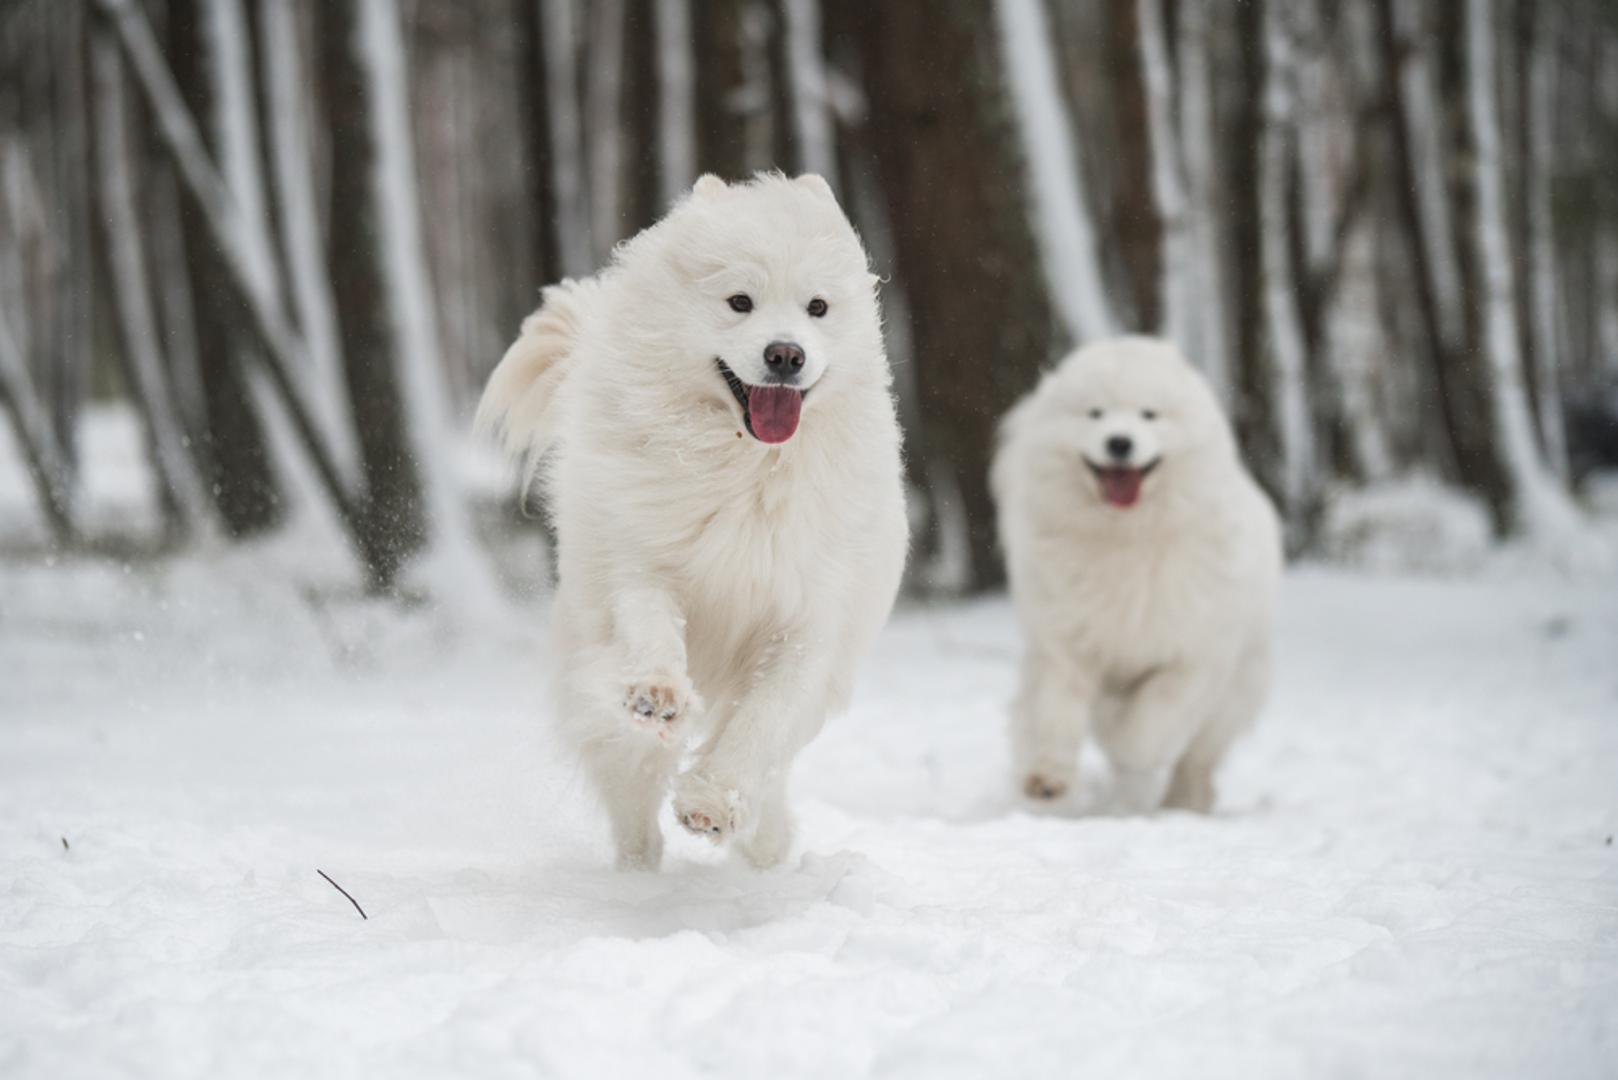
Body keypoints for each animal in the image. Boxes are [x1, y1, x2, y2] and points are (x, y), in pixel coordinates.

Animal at [478, 173, 912, 874]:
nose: (785, 354)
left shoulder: (807, 624)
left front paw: (711, 804)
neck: (744, 465)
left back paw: (764, 843)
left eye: (817, 307)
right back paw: (639, 867)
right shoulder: (641, 559)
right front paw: (657, 692)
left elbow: (762, 724)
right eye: (740, 301)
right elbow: (652, 623)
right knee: (631, 790)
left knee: (769, 769)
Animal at [990, 338, 1281, 809]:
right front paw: (1047, 777)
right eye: (1095, 413)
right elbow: (1055, 714)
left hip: (1236, 688)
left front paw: (1126, 744)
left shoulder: (1192, 657)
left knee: (1196, 759)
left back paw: (1183, 803)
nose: (1120, 443)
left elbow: (1149, 724)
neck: (1127, 538)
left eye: (1149, 414)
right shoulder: (1063, 643)